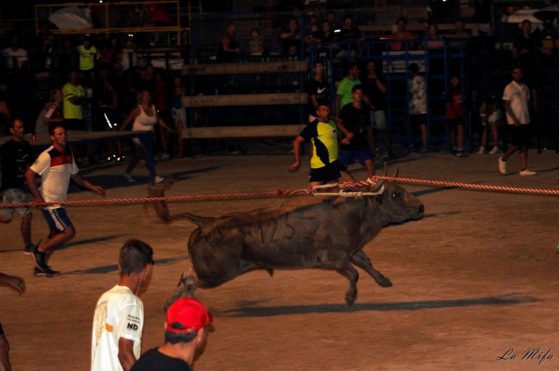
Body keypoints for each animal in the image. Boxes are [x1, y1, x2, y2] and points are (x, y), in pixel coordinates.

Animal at [149, 177, 424, 306]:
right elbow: (355, 273)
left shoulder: (352, 250)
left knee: (186, 276)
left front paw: (384, 281)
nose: (421, 207)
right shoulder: (333, 258)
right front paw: (349, 297)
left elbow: (366, 263)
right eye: (395, 194)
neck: (357, 212)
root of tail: (206, 221)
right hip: (216, 272)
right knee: (189, 279)